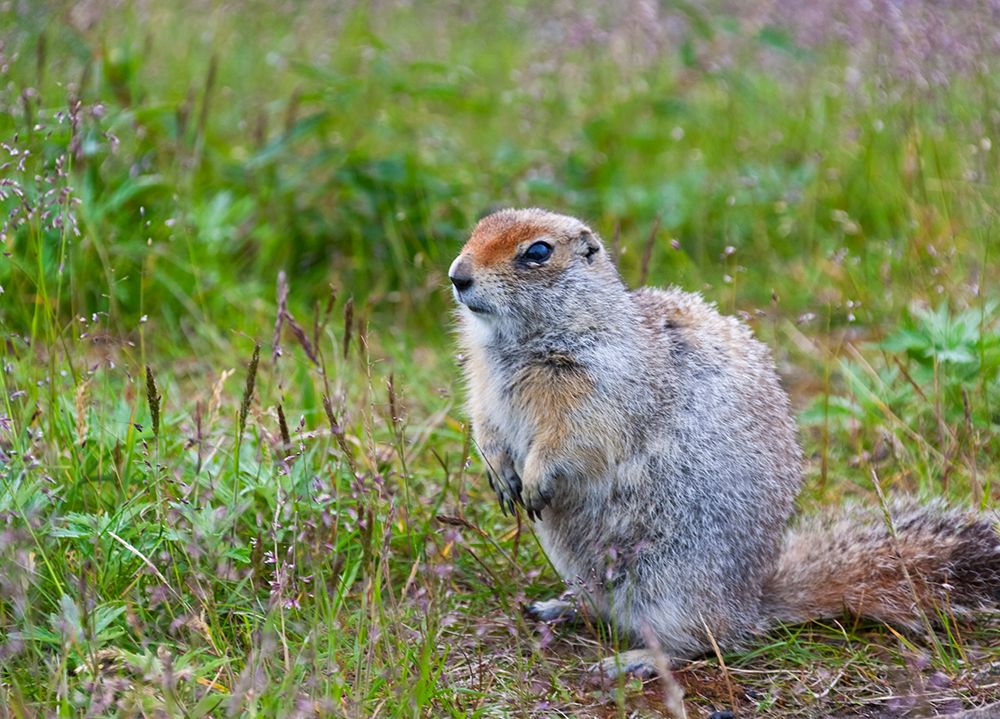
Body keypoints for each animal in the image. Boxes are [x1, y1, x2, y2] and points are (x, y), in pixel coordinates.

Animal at [449, 207, 1000, 676]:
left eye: (538, 252)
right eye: (476, 228)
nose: (457, 276)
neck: (516, 346)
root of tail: (753, 601)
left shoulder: (601, 384)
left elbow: (573, 437)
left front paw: (535, 478)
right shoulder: (483, 384)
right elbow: (486, 424)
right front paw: (500, 475)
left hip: (672, 582)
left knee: (701, 640)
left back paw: (632, 660)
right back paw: (557, 607)